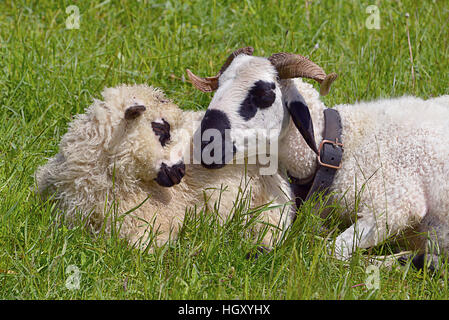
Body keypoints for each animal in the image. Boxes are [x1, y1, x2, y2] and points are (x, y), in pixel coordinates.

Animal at [186, 47, 448, 262]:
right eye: (219, 86)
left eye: (265, 95)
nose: (204, 144)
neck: (344, 144)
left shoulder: (397, 204)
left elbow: (329, 251)